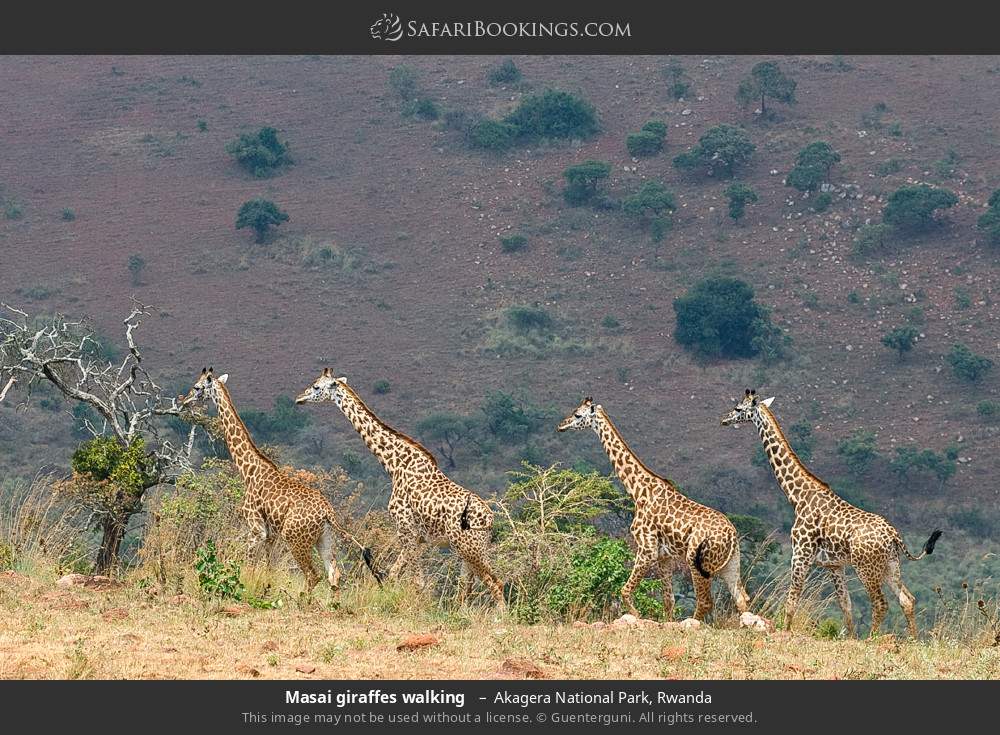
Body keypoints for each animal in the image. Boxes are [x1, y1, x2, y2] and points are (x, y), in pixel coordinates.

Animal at [178, 368, 381, 593]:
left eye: (197, 387)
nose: (184, 400)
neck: (248, 470)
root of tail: (328, 513)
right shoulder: (271, 534)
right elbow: (269, 568)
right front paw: (266, 590)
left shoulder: (256, 529)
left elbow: (249, 566)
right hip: (324, 538)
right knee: (333, 575)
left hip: (295, 539)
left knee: (313, 575)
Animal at [295, 369, 506, 607]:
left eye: (316, 386)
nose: (299, 398)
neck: (394, 465)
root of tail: (490, 520)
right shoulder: (418, 537)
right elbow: (394, 574)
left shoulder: (406, 530)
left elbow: (416, 582)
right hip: (469, 549)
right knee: (466, 588)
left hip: (470, 548)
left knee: (495, 583)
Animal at [558, 398, 750, 621]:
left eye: (578, 415)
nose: (561, 425)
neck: (638, 490)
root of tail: (732, 535)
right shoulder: (664, 556)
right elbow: (668, 600)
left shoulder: (647, 549)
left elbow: (625, 590)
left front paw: (636, 616)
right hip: (731, 563)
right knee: (741, 598)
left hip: (698, 563)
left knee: (705, 602)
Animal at [721, 389, 942, 638]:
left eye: (738, 408)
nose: (724, 420)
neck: (798, 496)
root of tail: (893, 535)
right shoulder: (834, 565)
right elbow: (845, 605)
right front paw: (851, 638)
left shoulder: (800, 554)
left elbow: (791, 601)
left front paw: (785, 633)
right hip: (890, 564)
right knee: (907, 599)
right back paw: (913, 639)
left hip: (867, 567)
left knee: (881, 603)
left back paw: (872, 639)